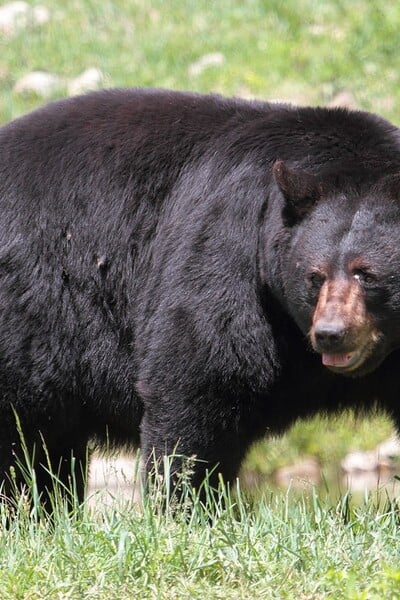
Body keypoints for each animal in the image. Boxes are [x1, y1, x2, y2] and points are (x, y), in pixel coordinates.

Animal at [0, 86, 400, 504]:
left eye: (366, 274)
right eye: (314, 276)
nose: (330, 334)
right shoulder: (228, 256)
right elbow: (197, 384)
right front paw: (186, 504)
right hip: (31, 321)